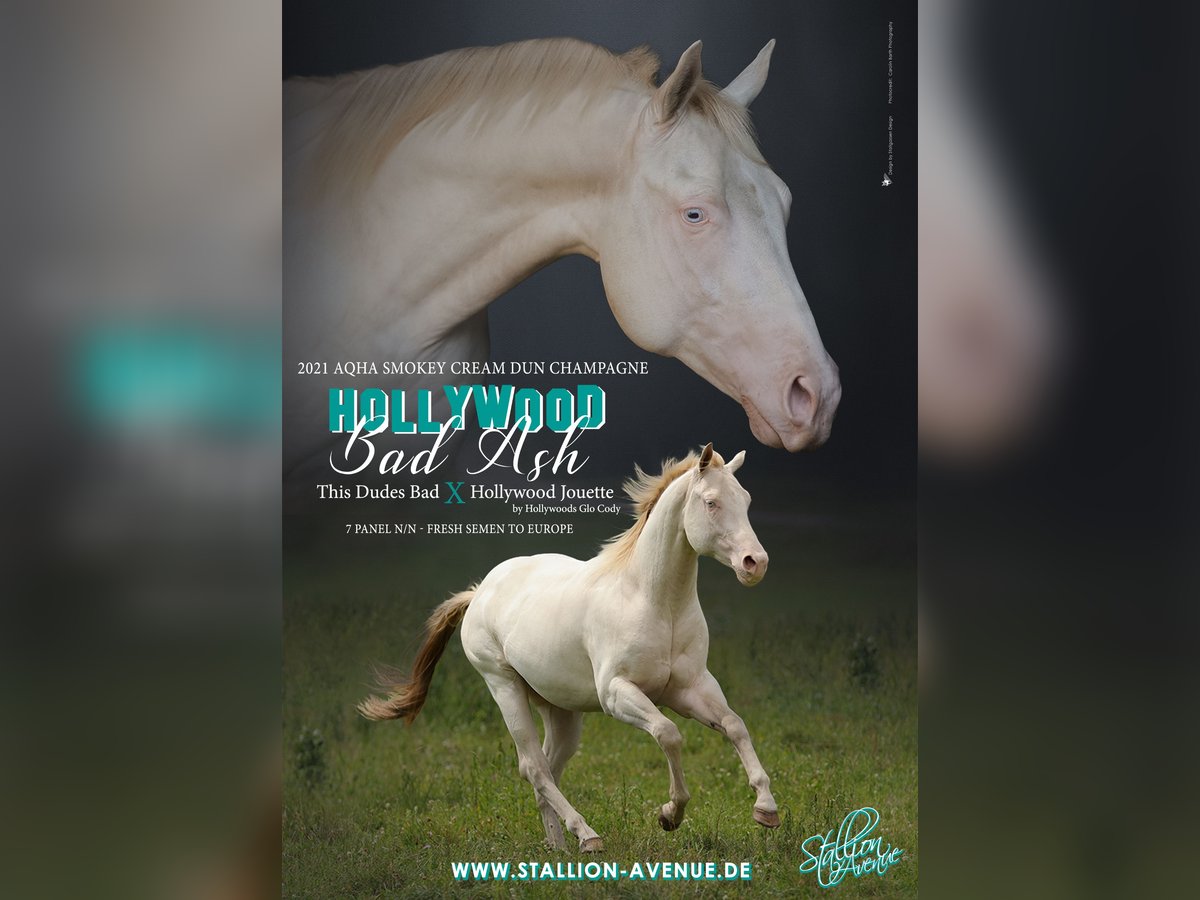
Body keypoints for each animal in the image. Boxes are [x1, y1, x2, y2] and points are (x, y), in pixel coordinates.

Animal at [359, 443, 778, 852]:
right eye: (711, 502)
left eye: (745, 499)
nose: (755, 563)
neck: (654, 602)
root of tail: (479, 591)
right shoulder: (617, 693)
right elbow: (668, 733)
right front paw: (670, 814)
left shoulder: (690, 688)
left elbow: (734, 725)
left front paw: (766, 809)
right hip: (503, 686)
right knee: (534, 767)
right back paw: (587, 835)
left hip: (559, 710)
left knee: (549, 767)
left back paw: (558, 845)